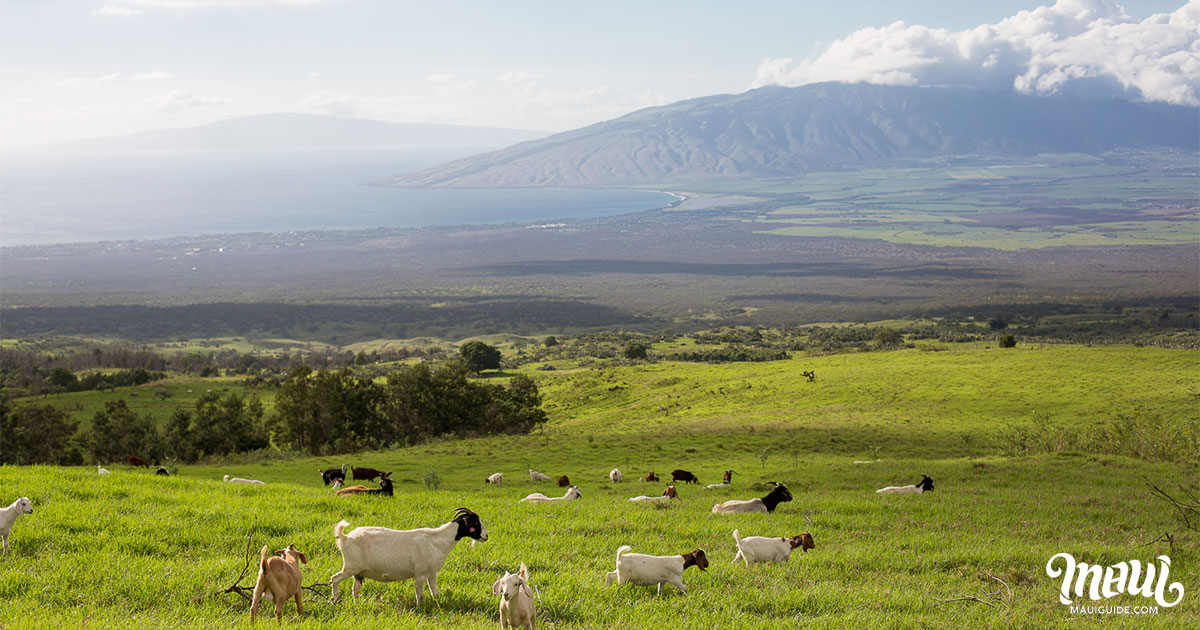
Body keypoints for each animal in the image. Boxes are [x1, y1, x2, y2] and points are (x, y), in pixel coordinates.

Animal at [328, 506, 487, 604]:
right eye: (474, 522)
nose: (486, 536)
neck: (437, 540)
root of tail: (345, 537)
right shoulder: (420, 574)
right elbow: (420, 594)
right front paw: (420, 608)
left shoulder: (432, 574)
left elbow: (435, 592)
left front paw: (437, 604)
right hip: (351, 566)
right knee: (335, 578)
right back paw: (334, 599)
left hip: (359, 572)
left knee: (355, 590)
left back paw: (358, 604)